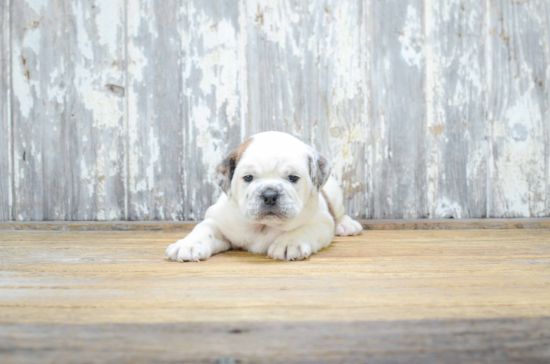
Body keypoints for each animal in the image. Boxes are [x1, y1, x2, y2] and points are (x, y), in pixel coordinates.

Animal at [166, 132, 364, 262]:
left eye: (293, 177)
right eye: (248, 177)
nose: (269, 195)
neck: (264, 226)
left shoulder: (321, 221)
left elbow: (303, 229)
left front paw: (289, 243)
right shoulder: (218, 221)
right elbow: (203, 229)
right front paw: (189, 245)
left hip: (335, 194)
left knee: (339, 214)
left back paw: (346, 225)